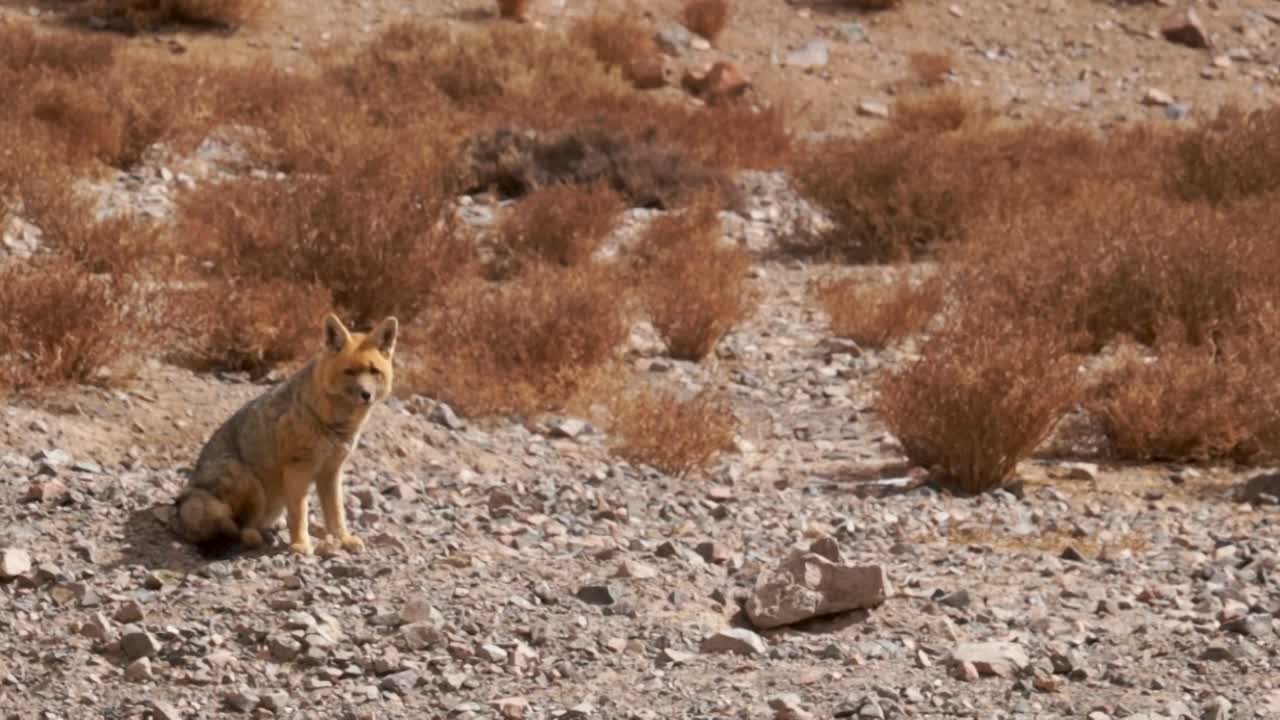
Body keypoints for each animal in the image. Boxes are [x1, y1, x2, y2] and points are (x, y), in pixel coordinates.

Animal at [174, 313, 398, 557]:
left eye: (374, 372)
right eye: (349, 372)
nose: (366, 395)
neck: (331, 422)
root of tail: (181, 505)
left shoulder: (331, 471)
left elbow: (336, 512)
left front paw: (344, 539)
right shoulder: (297, 469)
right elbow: (299, 513)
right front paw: (300, 545)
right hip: (249, 481)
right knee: (241, 527)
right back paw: (254, 536)